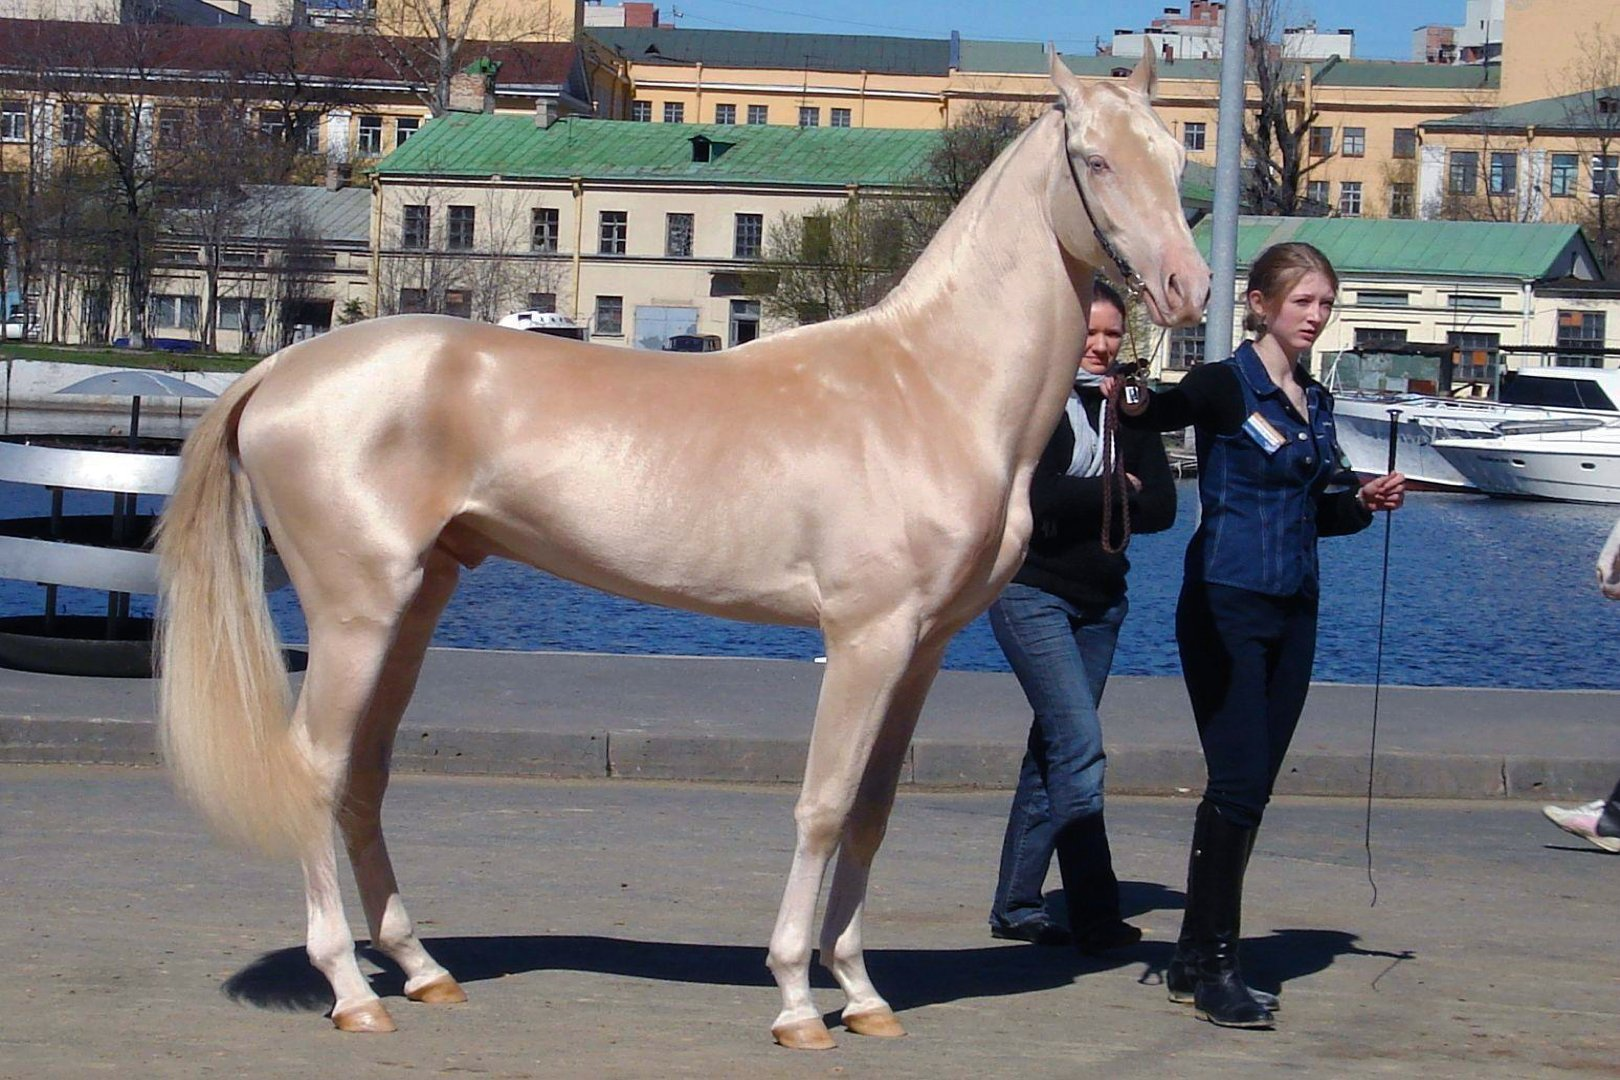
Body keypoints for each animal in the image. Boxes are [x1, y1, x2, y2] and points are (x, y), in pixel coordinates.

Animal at [154, 55, 1205, 1049]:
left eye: (1176, 154)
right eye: (1096, 160)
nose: (1187, 289)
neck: (928, 388)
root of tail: (281, 369)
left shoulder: (923, 649)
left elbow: (871, 811)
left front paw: (862, 994)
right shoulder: (865, 638)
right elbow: (824, 806)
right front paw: (796, 1000)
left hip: (413, 608)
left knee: (364, 776)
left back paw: (420, 970)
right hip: (355, 614)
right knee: (315, 769)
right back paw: (351, 991)